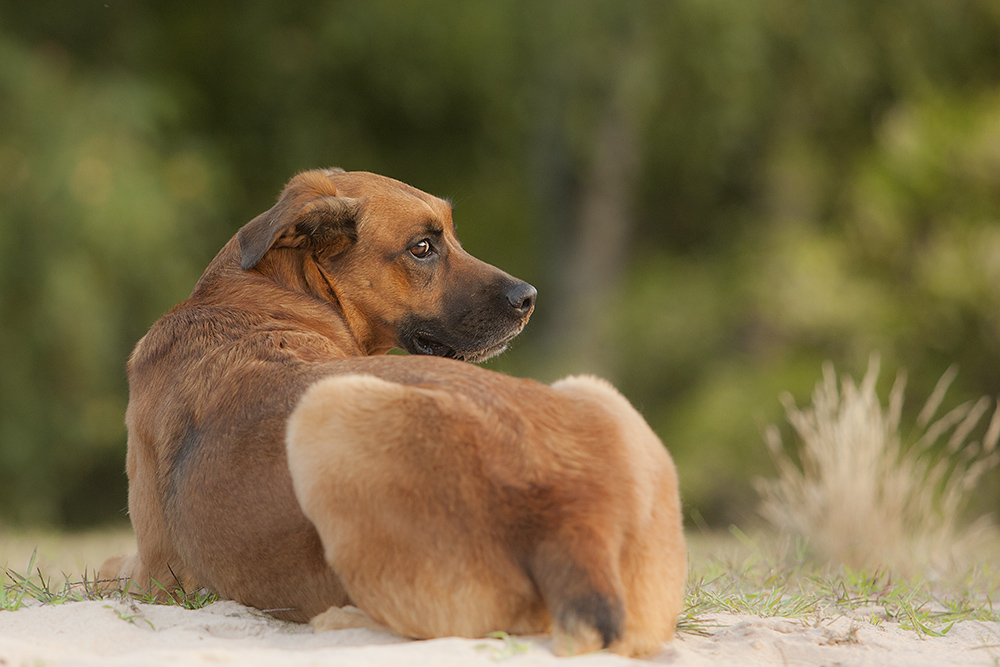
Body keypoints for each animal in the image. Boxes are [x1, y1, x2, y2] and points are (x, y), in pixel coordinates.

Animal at [99, 167, 688, 656]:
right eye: (423, 247)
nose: (529, 299)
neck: (266, 294)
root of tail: (571, 519)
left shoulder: (153, 572)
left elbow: (105, 566)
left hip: (326, 411)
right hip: (596, 394)